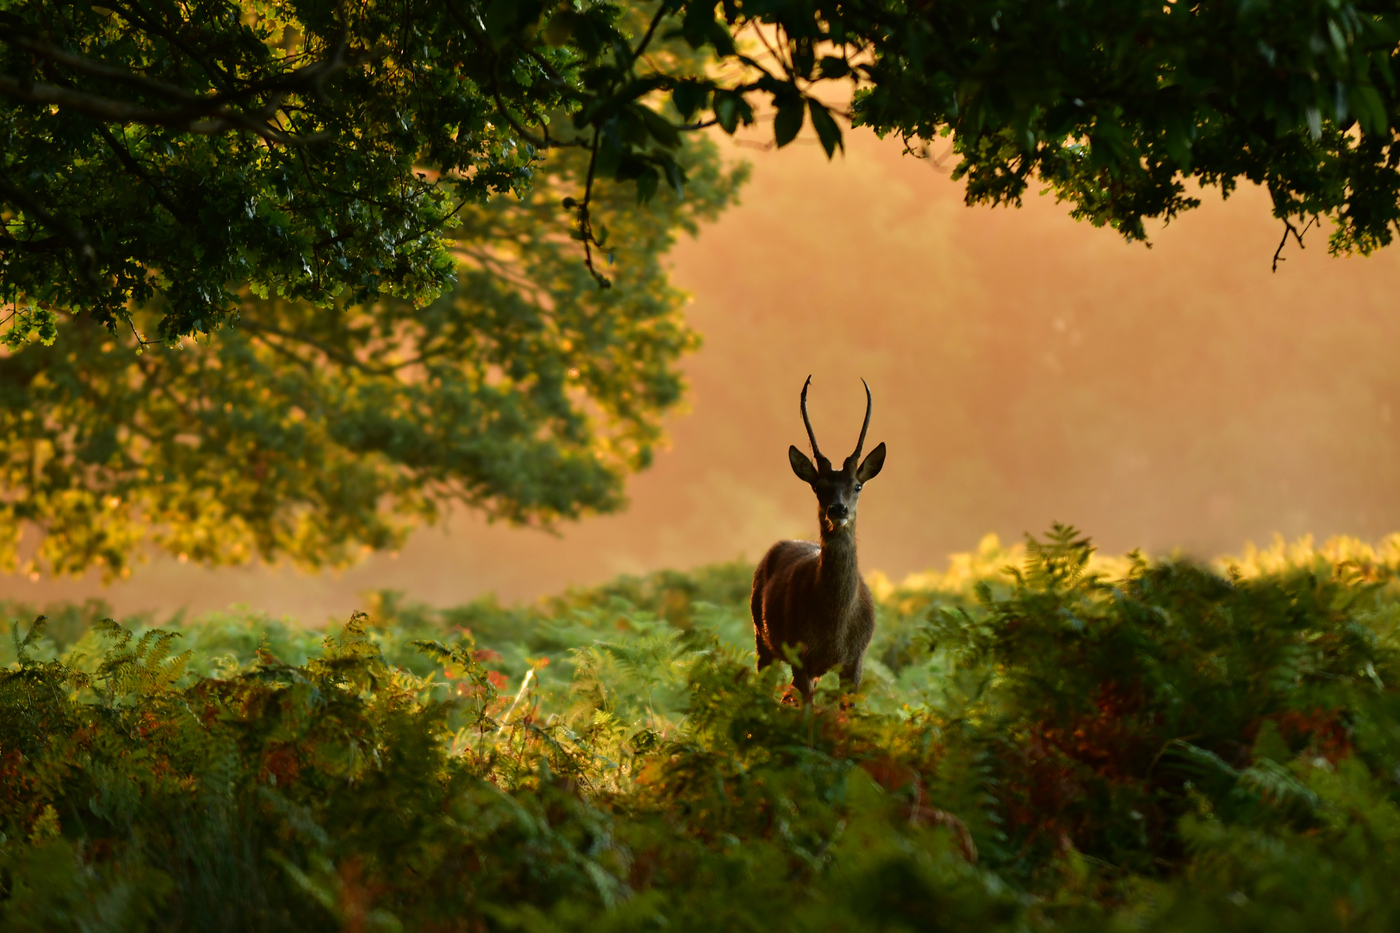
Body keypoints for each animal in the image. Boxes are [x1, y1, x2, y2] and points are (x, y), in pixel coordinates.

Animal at [750, 375, 879, 700]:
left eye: (857, 485)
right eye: (818, 487)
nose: (838, 508)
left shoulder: (856, 660)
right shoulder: (801, 657)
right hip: (761, 637)